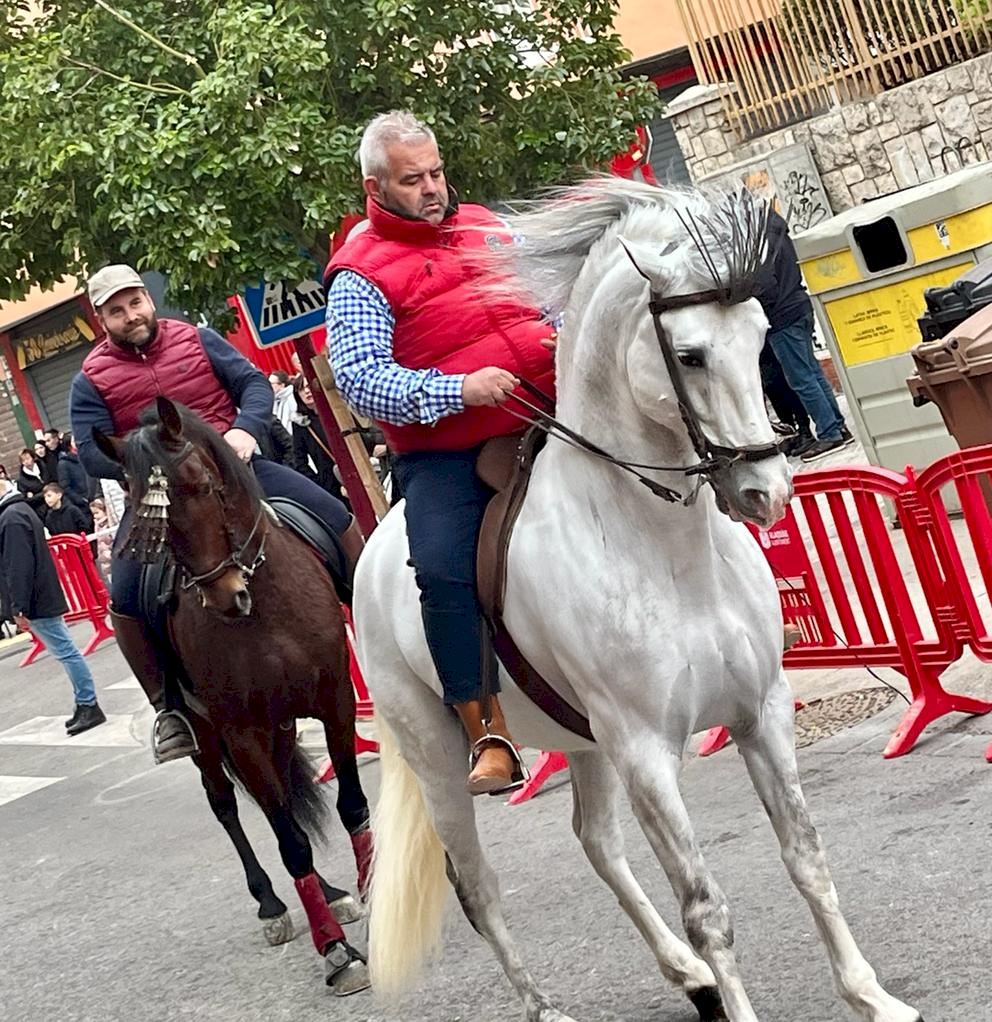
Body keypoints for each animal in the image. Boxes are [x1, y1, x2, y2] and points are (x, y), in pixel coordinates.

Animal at [95, 397, 371, 995]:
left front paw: (370, 884)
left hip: (282, 725)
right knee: (226, 806)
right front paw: (336, 952)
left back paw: (332, 894)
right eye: (145, 511)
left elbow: (351, 804)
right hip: (208, 738)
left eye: (203, 485)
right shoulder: (241, 734)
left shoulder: (336, 699)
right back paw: (272, 904)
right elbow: (290, 841)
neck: (264, 610)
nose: (225, 596)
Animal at [356, 180, 923, 1022]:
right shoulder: (647, 752)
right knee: (480, 889)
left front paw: (869, 995)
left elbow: (805, 854)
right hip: (441, 761)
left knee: (595, 841)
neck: (664, 549)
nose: (766, 493)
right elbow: (708, 908)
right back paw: (546, 1007)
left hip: (585, 744)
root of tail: (365, 557)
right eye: (688, 355)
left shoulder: (760, 712)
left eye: (761, 336)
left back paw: (687, 977)